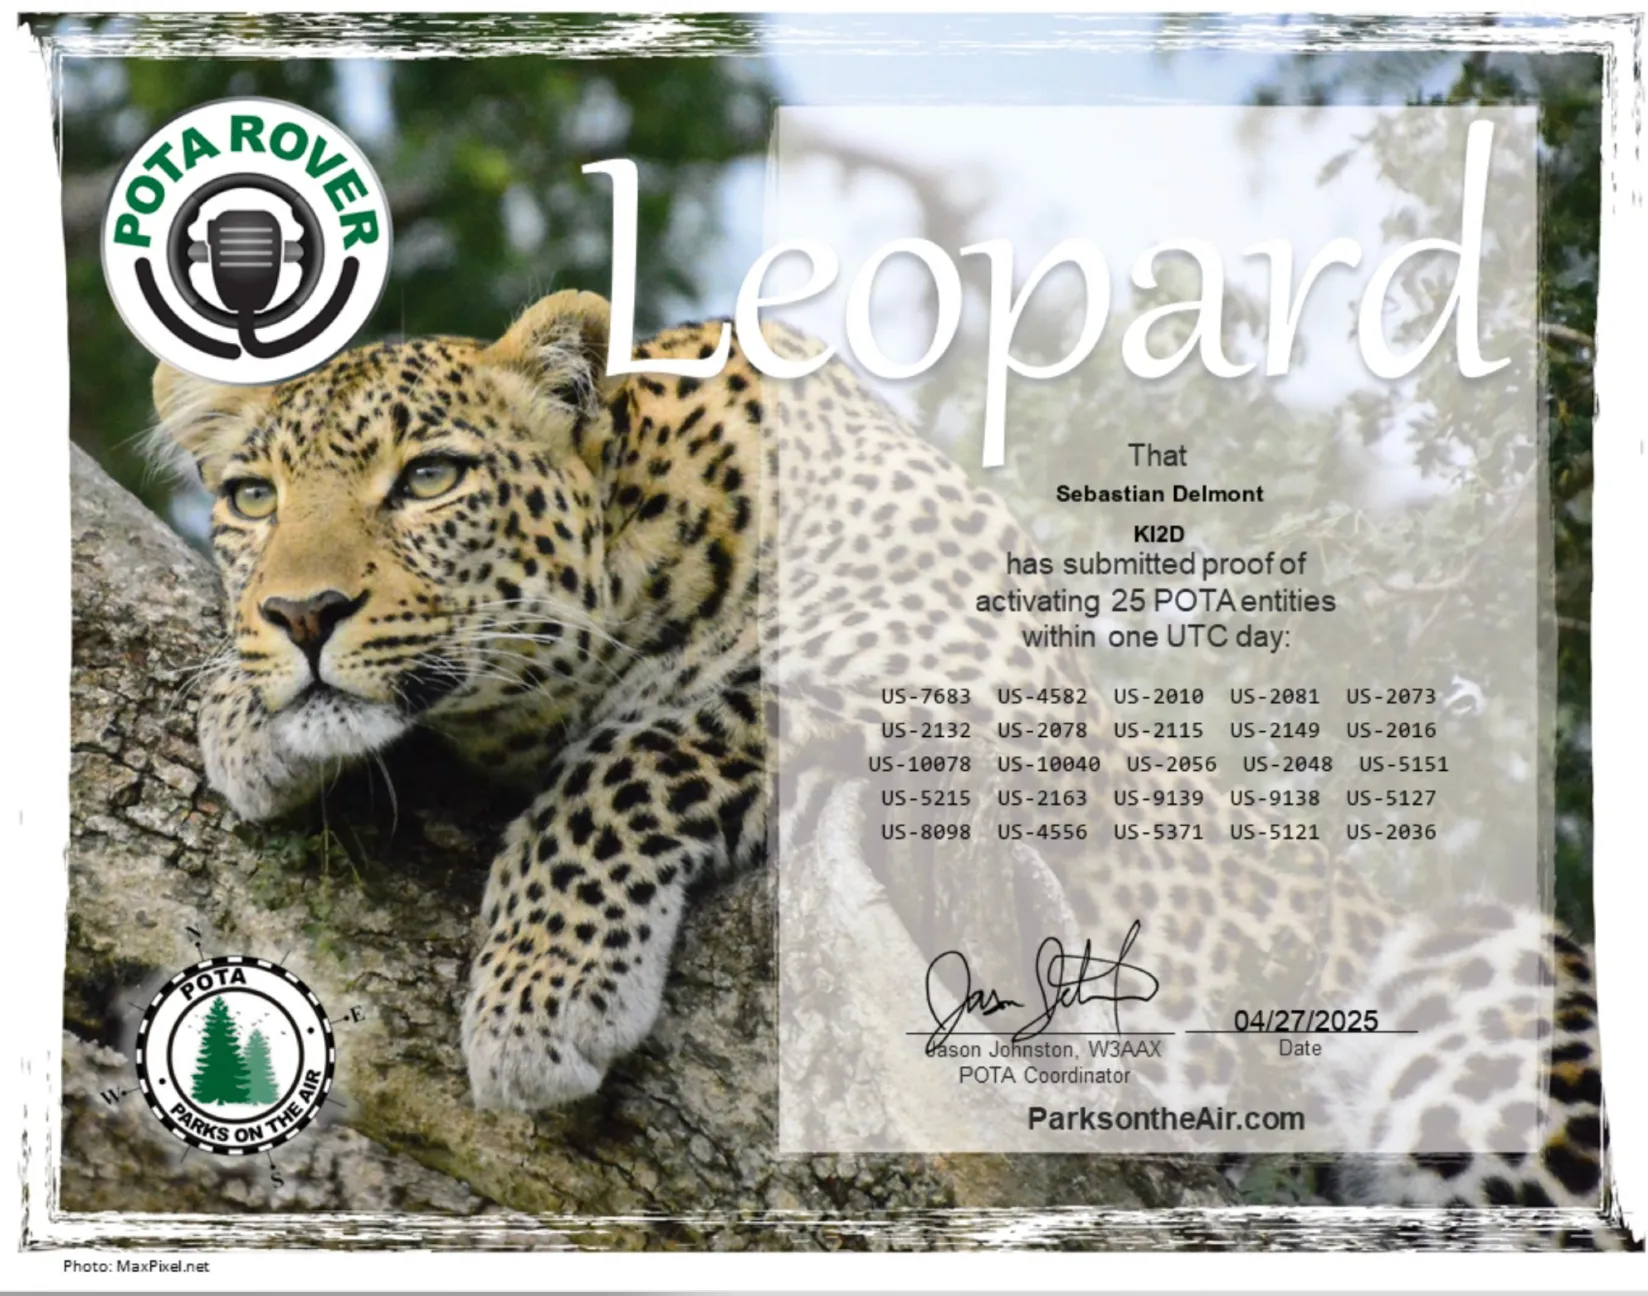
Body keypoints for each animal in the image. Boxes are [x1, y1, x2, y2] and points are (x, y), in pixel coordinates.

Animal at [148, 288, 1629, 1246]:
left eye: (432, 478)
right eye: (252, 500)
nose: (300, 613)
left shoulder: (968, 676)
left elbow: (647, 744)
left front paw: (539, 996)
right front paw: (244, 710)